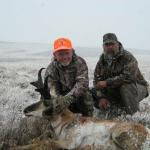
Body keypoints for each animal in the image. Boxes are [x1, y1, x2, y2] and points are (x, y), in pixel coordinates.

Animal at [1, 68, 149, 149]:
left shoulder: (68, 143)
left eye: (46, 101)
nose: (25, 110)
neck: (68, 122)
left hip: (117, 135)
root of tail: (146, 130)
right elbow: (39, 140)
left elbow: (44, 142)